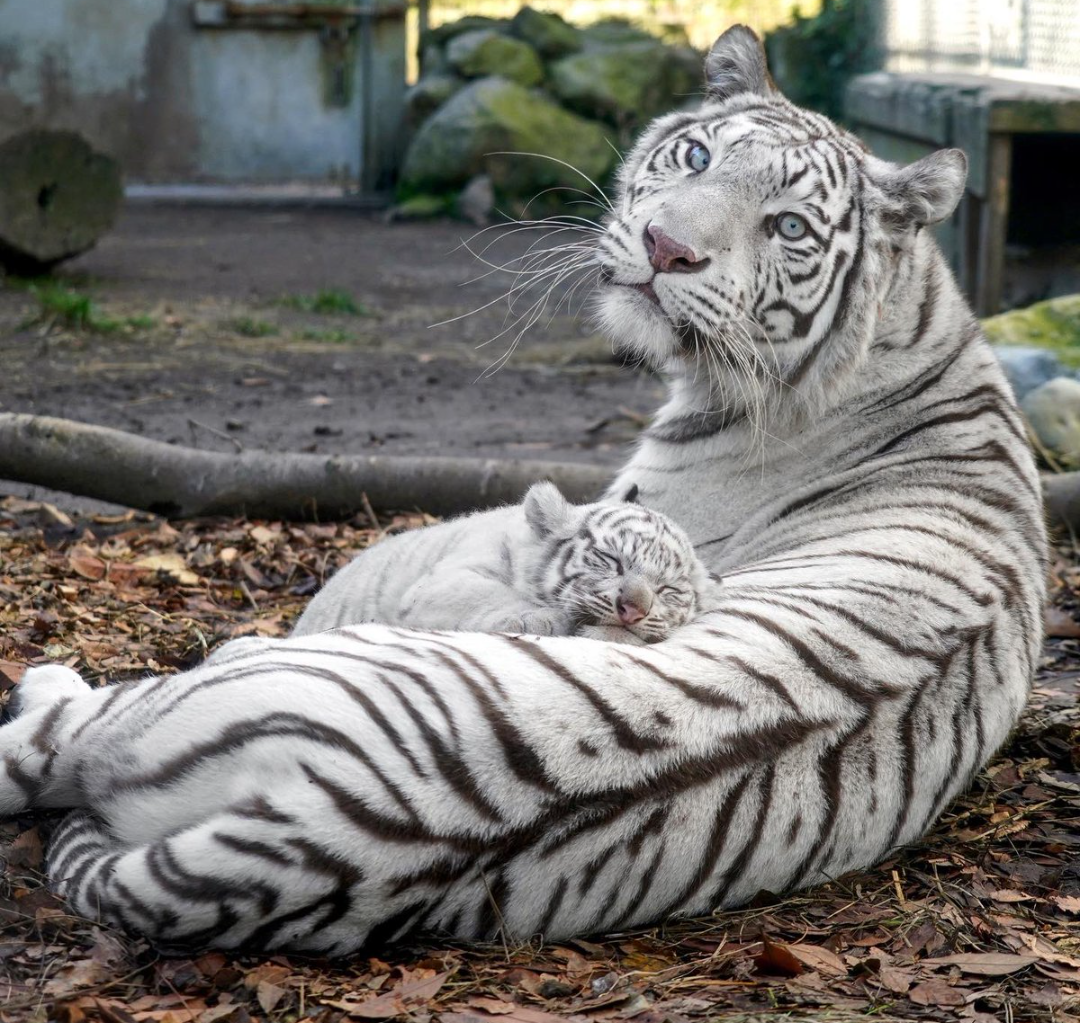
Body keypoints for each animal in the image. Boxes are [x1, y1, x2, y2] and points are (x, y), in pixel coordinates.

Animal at [291, 481, 709, 644]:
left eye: (667, 589)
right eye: (610, 560)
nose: (633, 611)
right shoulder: (439, 583)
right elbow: (486, 594)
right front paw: (546, 619)